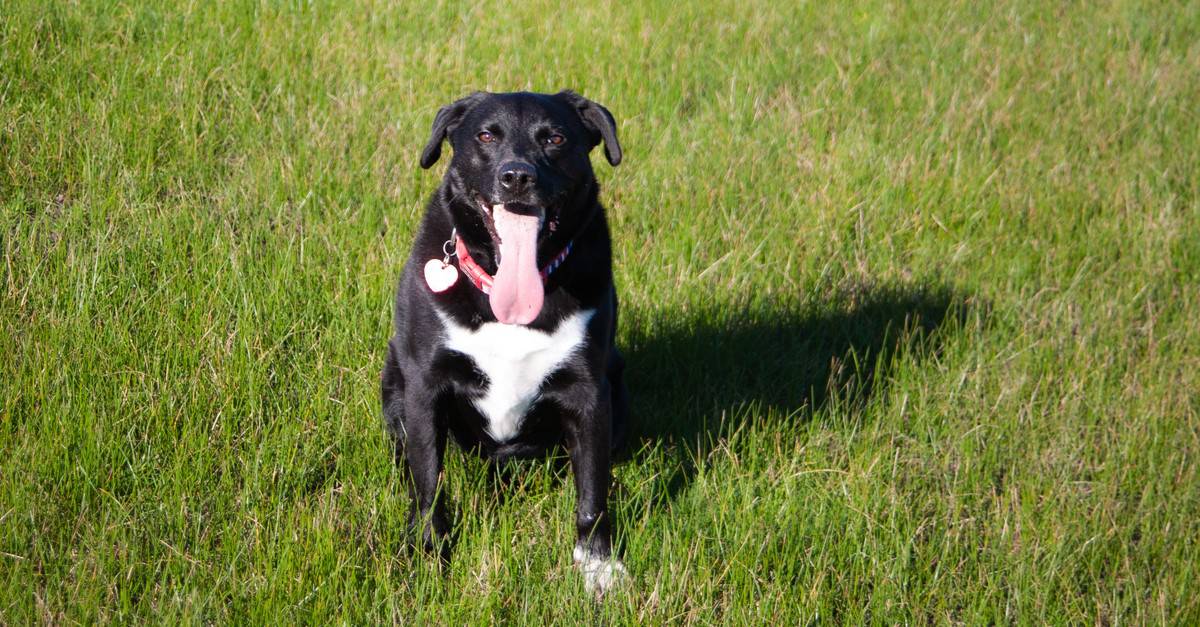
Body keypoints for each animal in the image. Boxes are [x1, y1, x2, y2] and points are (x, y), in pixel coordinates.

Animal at [381, 88, 628, 590]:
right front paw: (428, 554)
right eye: (485, 135)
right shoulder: (424, 386)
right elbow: (428, 481)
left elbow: (593, 490)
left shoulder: (590, 392)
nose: (516, 176)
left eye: (555, 138)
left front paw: (597, 565)